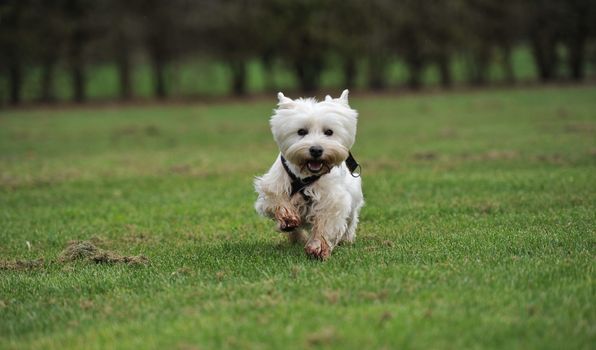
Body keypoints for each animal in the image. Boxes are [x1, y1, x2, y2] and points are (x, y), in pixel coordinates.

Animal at [253, 90, 360, 260]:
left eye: (329, 132)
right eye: (301, 131)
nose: (316, 150)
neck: (305, 176)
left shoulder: (332, 199)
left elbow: (325, 223)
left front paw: (318, 246)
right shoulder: (273, 185)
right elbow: (277, 199)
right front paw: (288, 218)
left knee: (350, 222)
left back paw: (347, 239)